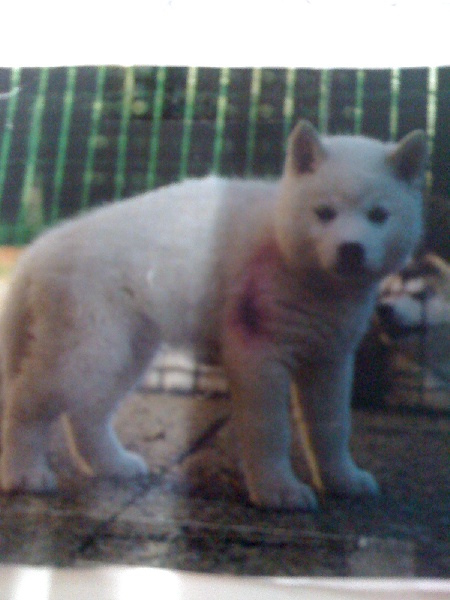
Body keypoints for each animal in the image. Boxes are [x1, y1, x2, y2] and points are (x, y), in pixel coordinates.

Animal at [0, 120, 427, 509]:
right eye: (324, 213)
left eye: (378, 215)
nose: (351, 249)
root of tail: (40, 248)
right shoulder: (257, 354)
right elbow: (270, 429)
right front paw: (277, 490)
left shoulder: (330, 360)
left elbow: (331, 428)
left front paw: (342, 480)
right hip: (87, 349)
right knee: (25, 402)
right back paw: (24, 473)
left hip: (123, 351)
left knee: (87, 412)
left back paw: (112, 465)